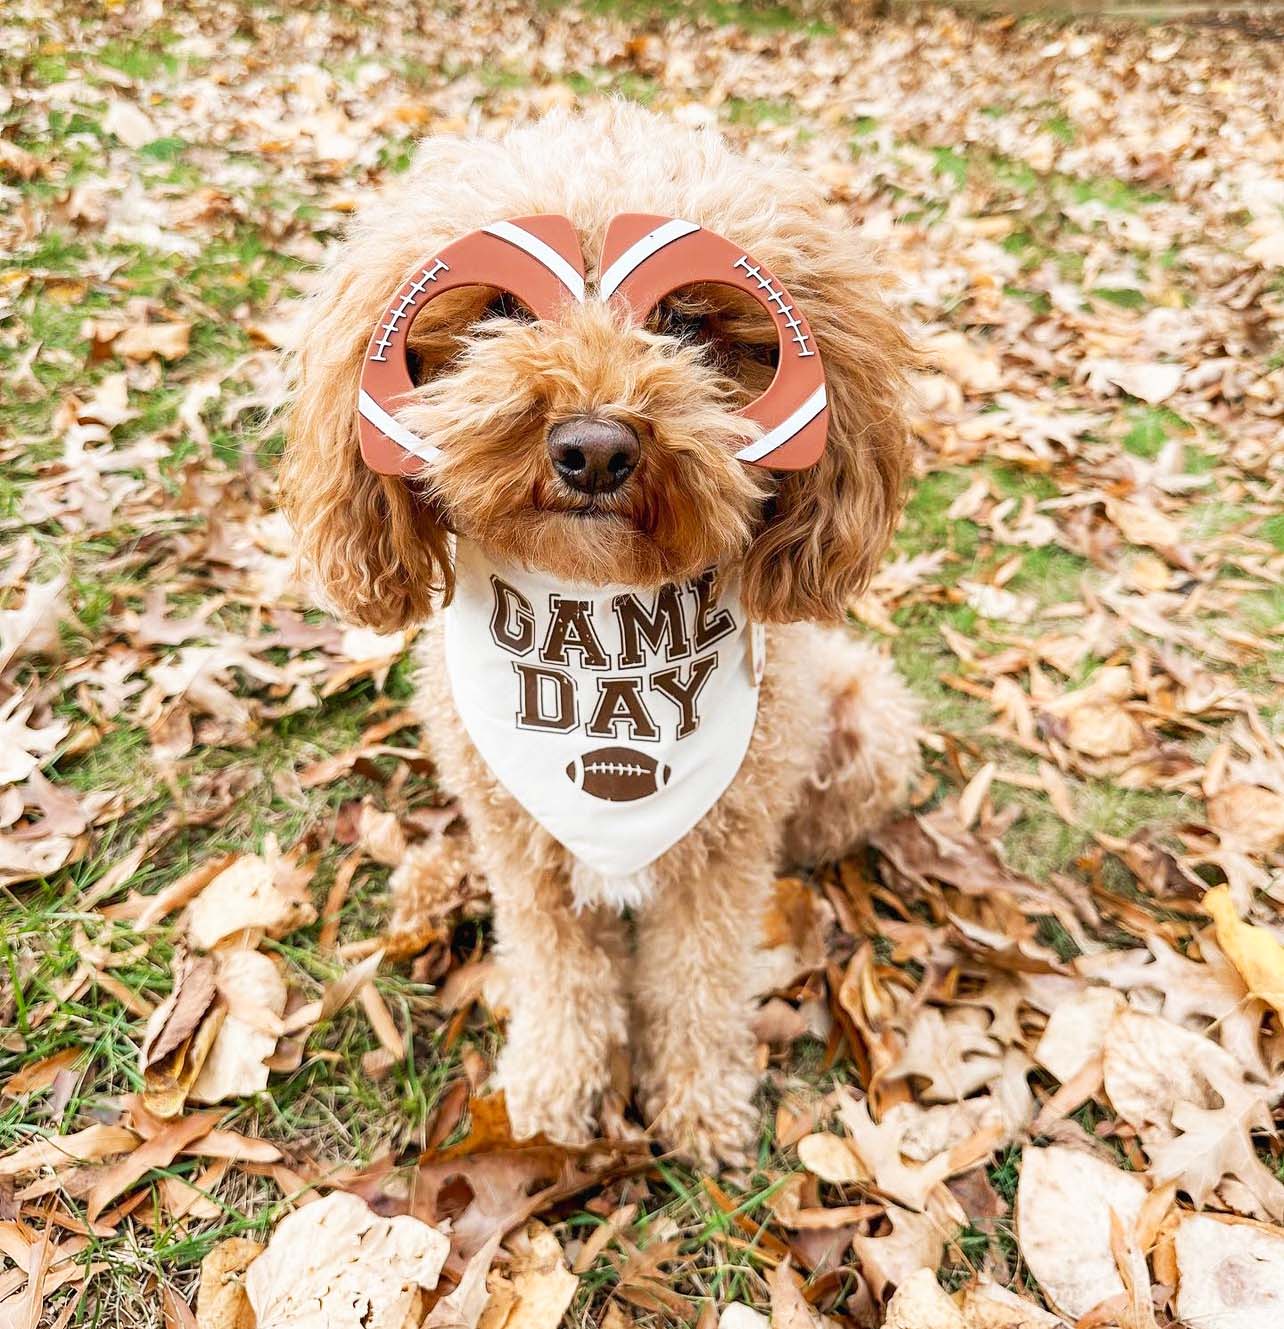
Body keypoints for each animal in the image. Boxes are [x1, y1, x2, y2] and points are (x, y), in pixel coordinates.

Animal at [283, 101, 925, 1164]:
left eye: (686, 322)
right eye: (502, 312)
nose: (593, 447)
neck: (594, 607)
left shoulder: (720, 854)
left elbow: (698, 979)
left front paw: (702, 1103)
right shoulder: (526, 853)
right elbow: (559, 975)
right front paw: (550, 1096)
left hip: (868, 726)